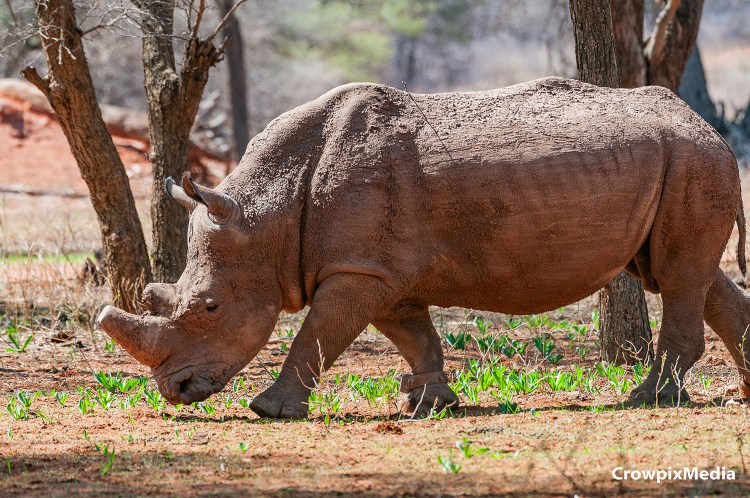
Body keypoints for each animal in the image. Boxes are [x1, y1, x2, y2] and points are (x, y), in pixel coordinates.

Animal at [98, 77, 749, 418]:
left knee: (678, 274)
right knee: (685, 273)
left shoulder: (357, 268)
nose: (175, 391)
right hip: (682, 161)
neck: (267, 214)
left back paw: (649, 399)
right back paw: (739, 392)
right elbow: (411, 332)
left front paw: (270, 409)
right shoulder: (377, 267)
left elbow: (317, 335)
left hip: (691, 161)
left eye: (210, 307)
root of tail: (708, 127)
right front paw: (428, 403)